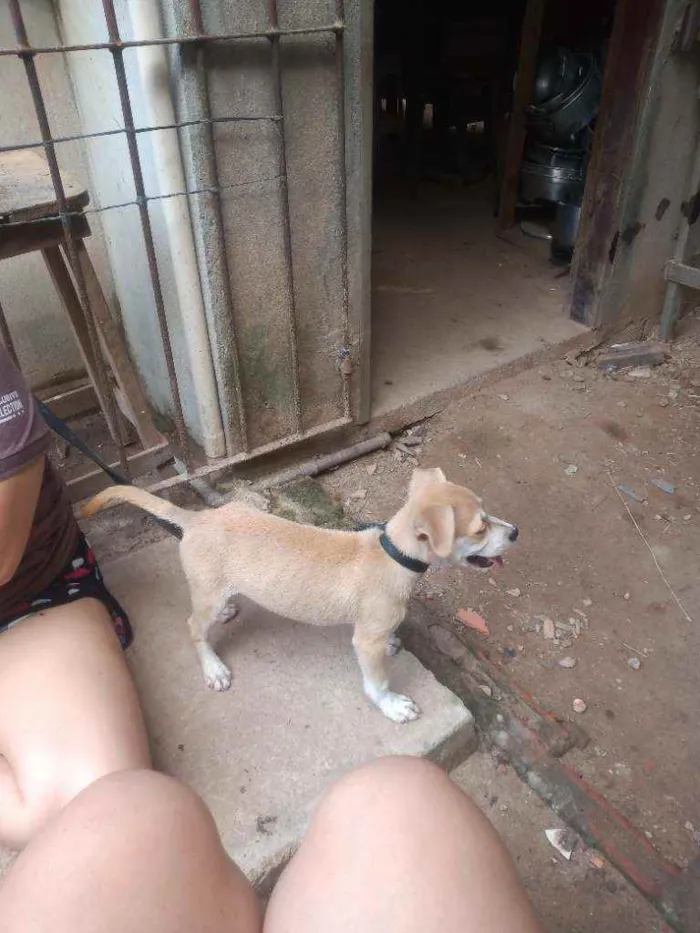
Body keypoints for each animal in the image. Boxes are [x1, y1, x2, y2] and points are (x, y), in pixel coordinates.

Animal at [85, 470, 516, 724]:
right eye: (479, 528)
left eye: (488, 513)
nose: (515, 532)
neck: (393, 552)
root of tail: (197, 518)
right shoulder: (366, 640)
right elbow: (376, 681)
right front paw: (392, 704)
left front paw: (396, 645)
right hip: (205, 597)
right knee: (193, 627)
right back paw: (213, 668)